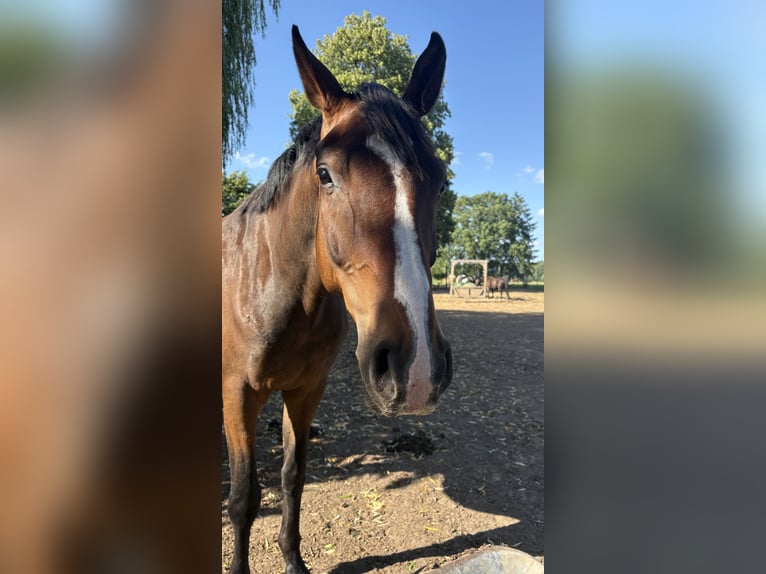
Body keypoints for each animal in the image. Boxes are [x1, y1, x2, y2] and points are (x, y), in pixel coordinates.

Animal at [222, 25, 453, 574]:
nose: (415, 368)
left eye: (440, 180)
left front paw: (293, 559)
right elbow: (244, 497)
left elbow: (292, 477)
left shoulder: (306, 390)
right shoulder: (237, 393)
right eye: (324, 174)